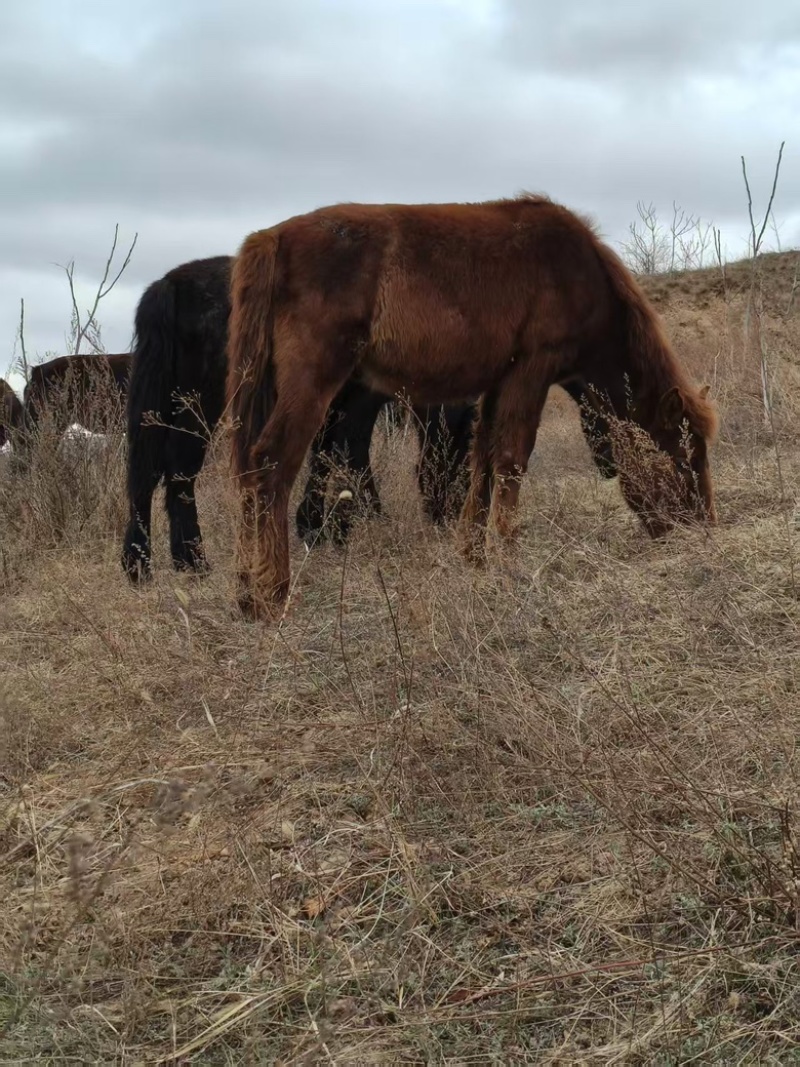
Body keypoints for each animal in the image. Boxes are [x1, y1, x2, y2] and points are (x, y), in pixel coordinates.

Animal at [120, 255, 483, 583]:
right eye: (465, 440)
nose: (449, 514)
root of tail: (171, 284)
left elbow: (324, 454)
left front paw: (316, 526)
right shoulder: (360, 400)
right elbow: (351, 453)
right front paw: (357, 521)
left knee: (146, 474)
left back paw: (141, 563)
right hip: (201, 405)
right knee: (178, 468)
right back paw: (191, 560)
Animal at [226, 192, 717, 619]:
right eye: (684, 458)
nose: (703, 531)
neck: (582, 275)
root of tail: (272, 237)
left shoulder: (497, 384)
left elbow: (482, 461)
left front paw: (475, 556)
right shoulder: (531, 372)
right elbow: (512, 459)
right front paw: (510, 560)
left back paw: (247, 591)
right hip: (313, 382)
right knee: (271, 464)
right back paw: (273, 595)